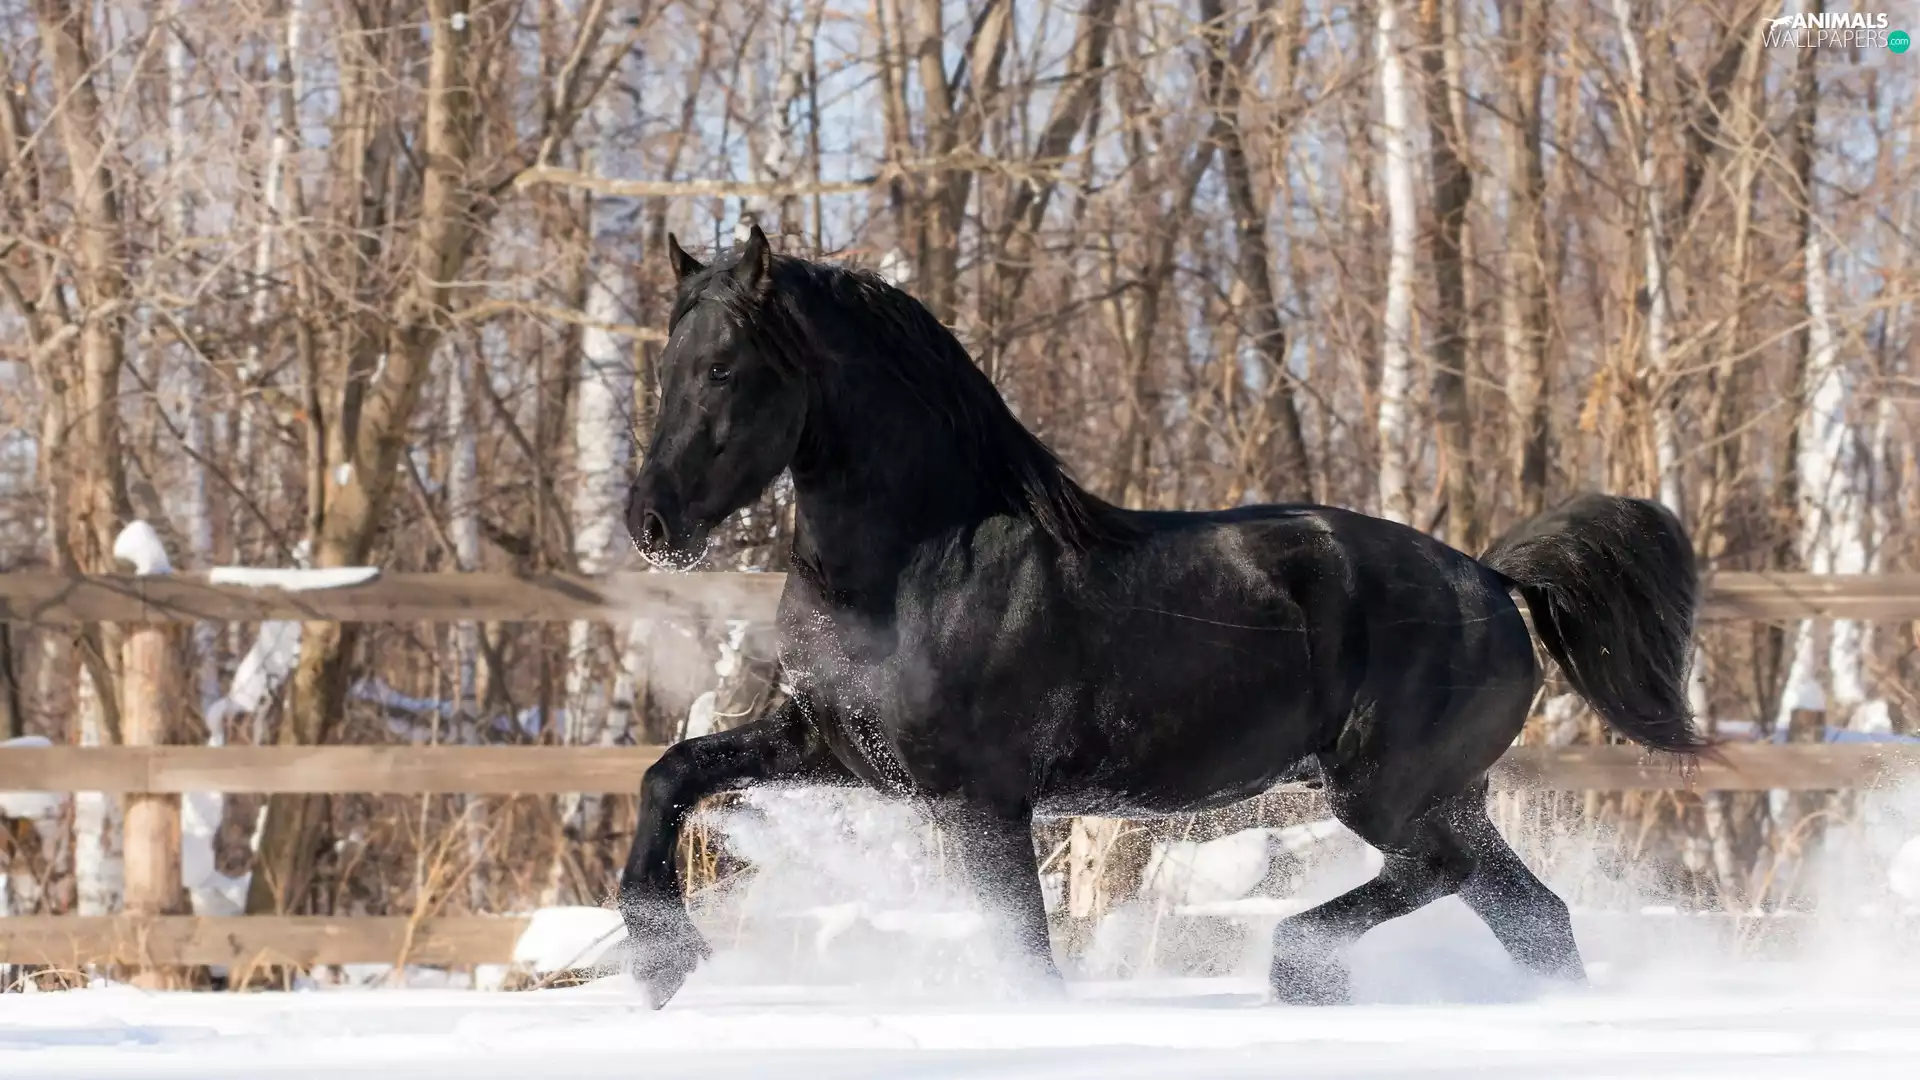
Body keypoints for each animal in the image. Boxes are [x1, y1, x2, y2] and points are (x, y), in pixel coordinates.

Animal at [617, 224, 1705, 1008]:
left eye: (726, 370)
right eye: (668, 367)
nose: (650, 522)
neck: (921, 562)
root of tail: (1490, 577)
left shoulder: (982, 798)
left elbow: (1024, 948)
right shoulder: (836, 750)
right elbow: (672, 771)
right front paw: (659, 958)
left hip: (1387, 791)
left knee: (1440, 873)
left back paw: (1299, 968)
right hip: (1444, 795)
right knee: (1534, 916)